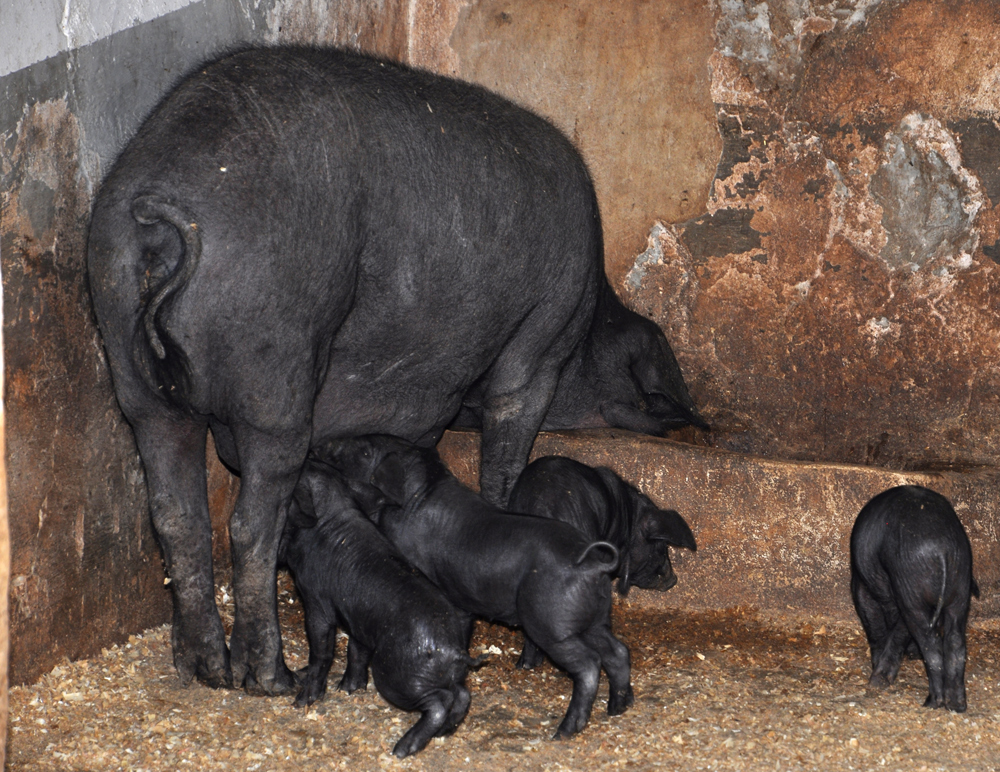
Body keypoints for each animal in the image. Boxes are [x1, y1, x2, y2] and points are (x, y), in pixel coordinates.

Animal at [86, 45, 656, 692]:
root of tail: (163, 207)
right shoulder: (541, 340)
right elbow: (506, 452)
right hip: (274, 365)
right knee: (250, 523)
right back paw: (270, 676)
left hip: (131, 360)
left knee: (176, 516)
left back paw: (202, 670)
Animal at [282, 462, 476, 756]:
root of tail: (453, 649)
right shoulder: (358, 620)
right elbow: (356, 650)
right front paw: (347, 689)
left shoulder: (316, 599)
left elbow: (321, 648)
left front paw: (301, 701)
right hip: (441, 675)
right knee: (462, 694)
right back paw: (445, 733)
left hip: (396, 673)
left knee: (440, 702)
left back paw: (401, 749)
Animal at [316, 438, 632, 740]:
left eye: (365, 449)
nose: (324, 445)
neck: (414, 499)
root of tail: (590, 565)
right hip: (595, 617)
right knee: (618, 651)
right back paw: (617, 708)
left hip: (553, 623)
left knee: (589, 664)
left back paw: (563, 732)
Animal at [848, 486, 980, 716]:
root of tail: (941, 549)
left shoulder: (863, 585)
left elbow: (874, 623)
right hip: (960, 585)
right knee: (956, 642)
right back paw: (957, 706)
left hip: (910, 588)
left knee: (931, 645)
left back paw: (931, 701)